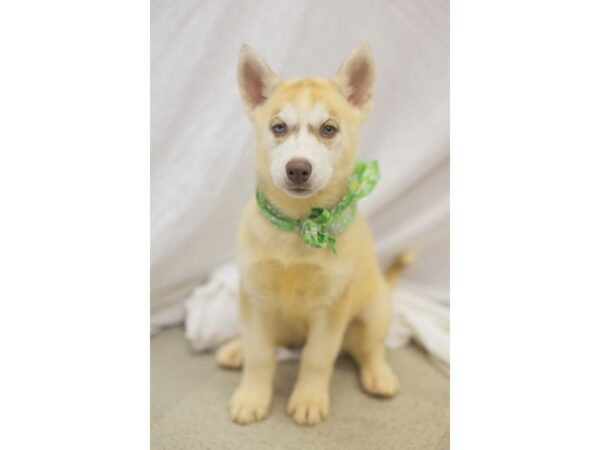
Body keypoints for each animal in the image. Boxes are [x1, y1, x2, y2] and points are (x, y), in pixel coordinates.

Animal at [216, 42, 408, 426]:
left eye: (329, 129)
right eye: (278, 127)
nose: (298, 169)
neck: (298, 226)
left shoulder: (331, 307)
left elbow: (317, 359)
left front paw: (308, 399)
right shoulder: (255, 298)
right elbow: (260, 355)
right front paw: (252, 396)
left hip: (374, 313)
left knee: (369, 348)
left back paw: (379, 374)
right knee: (270, 344)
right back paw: (236, 349)